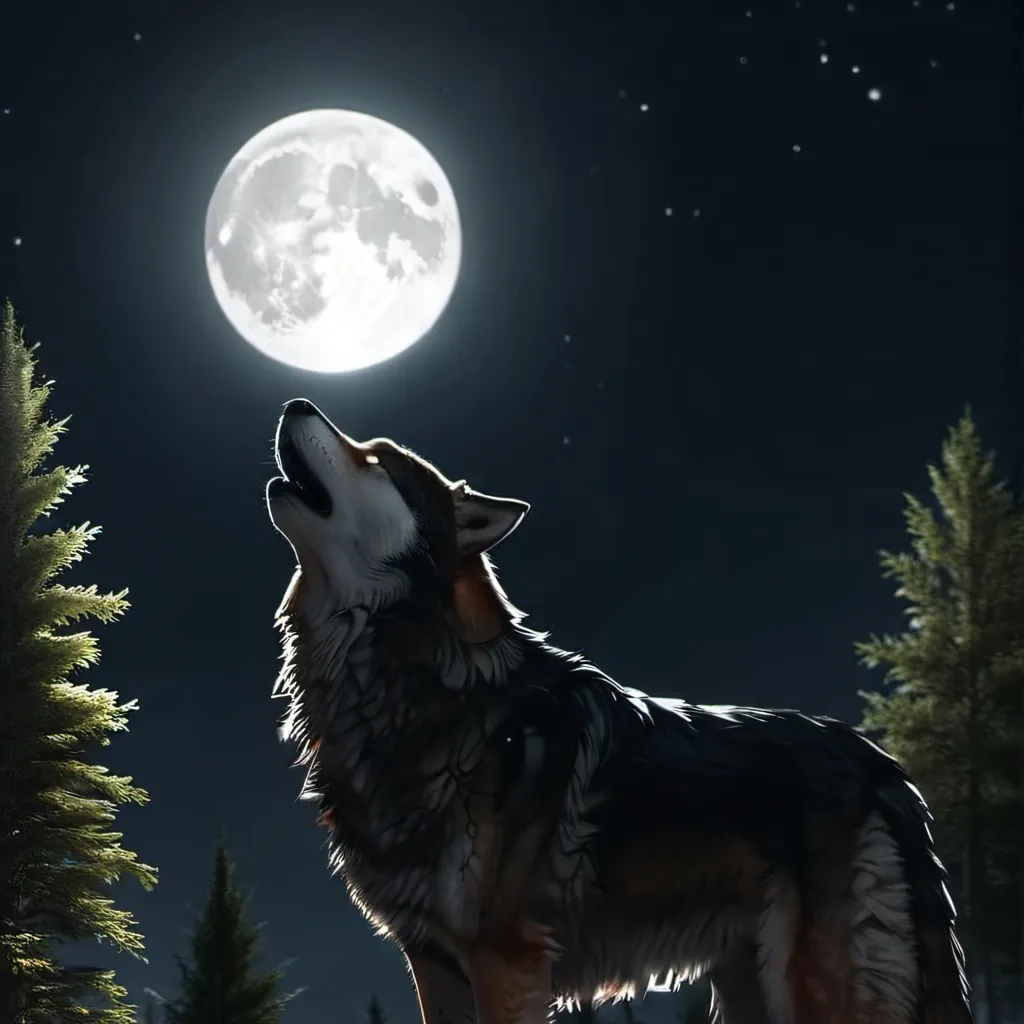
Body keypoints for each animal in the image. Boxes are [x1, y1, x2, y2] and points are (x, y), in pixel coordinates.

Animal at [265, 398, 972, 1024]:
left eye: (377, 459)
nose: (295, 401)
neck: (419, 681)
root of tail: (885, 769)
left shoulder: (506, 962)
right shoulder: (434, 966)